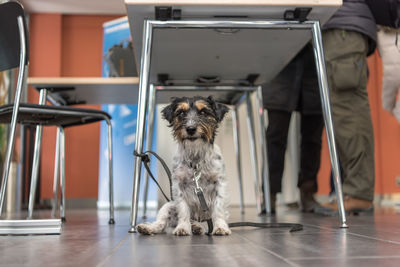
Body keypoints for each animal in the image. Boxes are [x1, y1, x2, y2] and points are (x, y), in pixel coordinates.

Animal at [138, 96, 231, 237]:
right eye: (181, 113)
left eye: (203, 112)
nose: (191, 129)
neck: (195, 157)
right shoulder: (179, 186)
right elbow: (183, 209)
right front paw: (182, 227)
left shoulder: (219, 184)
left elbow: (218, 208)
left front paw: (220, 227)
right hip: (168, 206)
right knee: (161, 224)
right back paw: (149, 228)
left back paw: (197, 227)